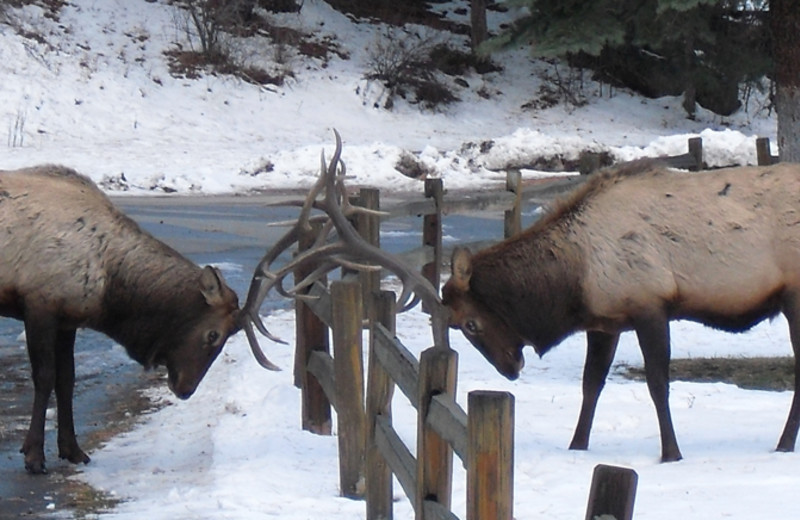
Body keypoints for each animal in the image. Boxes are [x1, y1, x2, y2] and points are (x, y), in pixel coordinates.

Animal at [0, 165, 250, 474]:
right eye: (213, 335)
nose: (185, 389)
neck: (108, 287)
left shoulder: (67, 319)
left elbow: (67, 380)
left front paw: (72, 450)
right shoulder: (39, 305)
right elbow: (45, 378)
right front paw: (34, 455)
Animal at [444, 160, 800, 462]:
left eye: (470, 323)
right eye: (457, 325)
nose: (510, 367)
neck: (574, 280)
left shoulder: (650, 306)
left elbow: (657, 384)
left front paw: (671, 453)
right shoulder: (604, 324)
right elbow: (591, 383)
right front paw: (577, 445)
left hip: (795, 299)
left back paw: (784, 444)